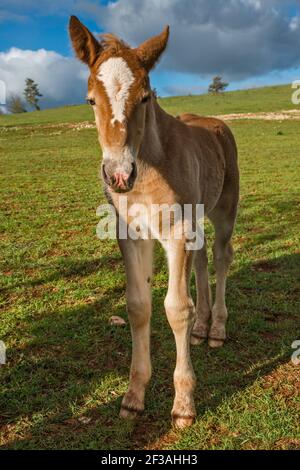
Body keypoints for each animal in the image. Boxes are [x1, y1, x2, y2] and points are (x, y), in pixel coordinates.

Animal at [69, 16, 239, 428]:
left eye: (145, 97)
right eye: (90, 100)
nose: (118, 175)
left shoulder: (175, 233)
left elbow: (176, 307)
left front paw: (184, 405)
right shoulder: (130, 234)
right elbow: (138, 306)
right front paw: (133, 397)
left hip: (225, 209)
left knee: (222, 256)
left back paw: (216, 329)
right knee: (202, 258)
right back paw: (200, 329)